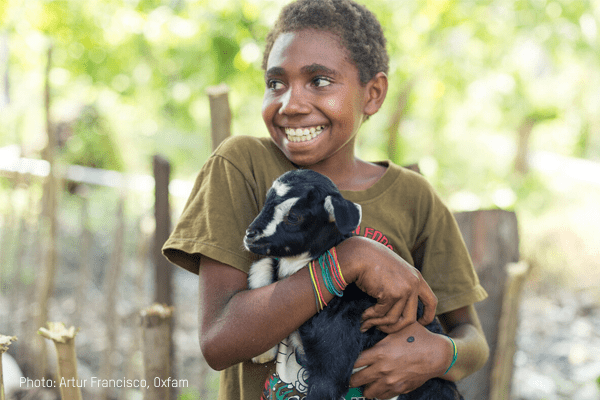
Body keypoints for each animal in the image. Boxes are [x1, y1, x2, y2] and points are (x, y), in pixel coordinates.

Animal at [244, 170, 464, 400]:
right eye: (265, 204)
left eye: (294, 216)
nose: (250, 235)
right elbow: (262, 265)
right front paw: (262, 352)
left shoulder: (334, 355)